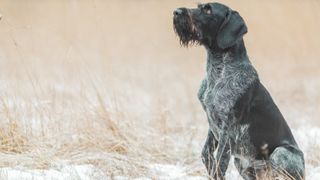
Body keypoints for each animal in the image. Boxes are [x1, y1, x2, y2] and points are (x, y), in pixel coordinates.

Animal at [172, 2, 304, 179]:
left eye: (208, 10)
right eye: (199, 6)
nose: (177, 12)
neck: (218, 71)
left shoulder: (228, 129)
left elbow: (219, 163)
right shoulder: (213, 123)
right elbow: (206, 154)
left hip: (281, 153)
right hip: (242, 164)